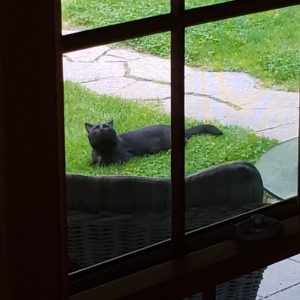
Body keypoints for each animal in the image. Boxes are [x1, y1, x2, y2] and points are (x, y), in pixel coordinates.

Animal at [84, 120, 223, 166]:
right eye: (96, 128)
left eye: (107, 126)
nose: (102, 129)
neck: (102, 150)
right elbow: (92, 163)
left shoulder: (125, 158)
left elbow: (108, 163)